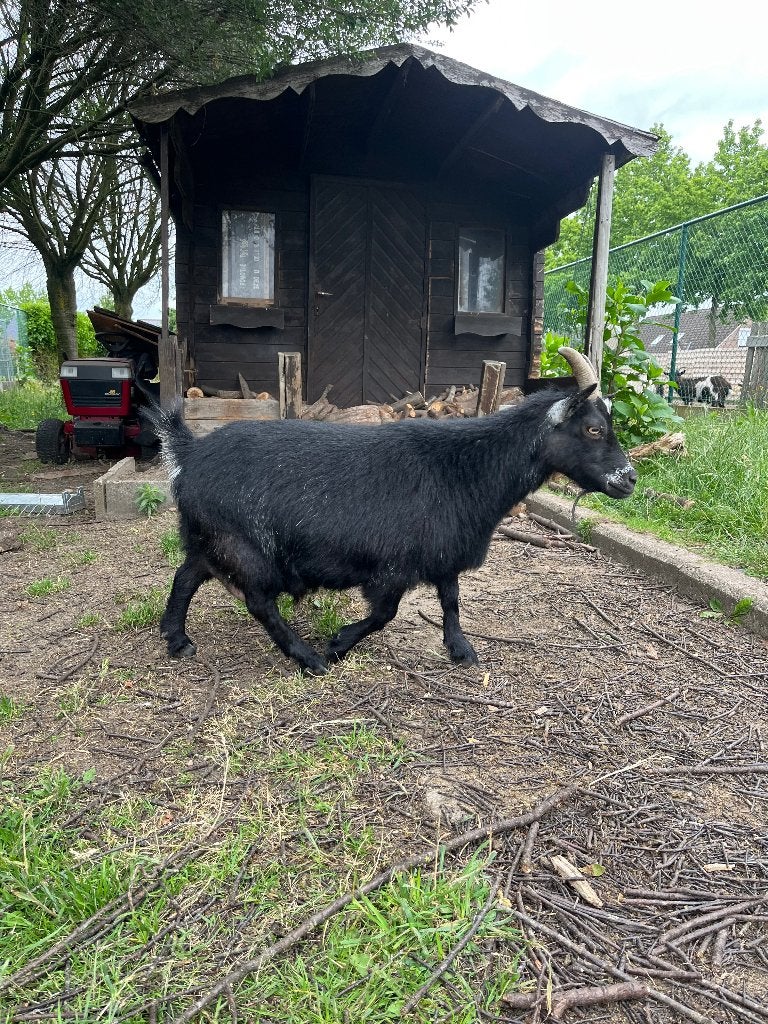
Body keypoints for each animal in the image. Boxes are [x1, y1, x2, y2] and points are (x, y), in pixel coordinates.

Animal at [155, 349, 637, 675]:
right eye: (594, 429)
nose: (629, 478)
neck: (464, 468)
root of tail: (190, 454)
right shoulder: (392, 566)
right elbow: (384, 614)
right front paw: (337, 644)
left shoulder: (443, 551)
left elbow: (451, 599)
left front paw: (461, 650)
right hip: (245, 546)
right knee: (258, 602)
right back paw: (309, 658)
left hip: (212, 539)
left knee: (186, 576)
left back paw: (177, 639)